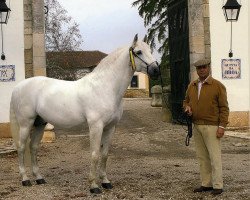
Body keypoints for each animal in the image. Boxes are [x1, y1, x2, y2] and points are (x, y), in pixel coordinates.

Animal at [9, 34, 160, 194]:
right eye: (138, 52)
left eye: (150, 50)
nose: (156, 70)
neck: (105, 87)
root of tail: (18, 87)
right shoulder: (96, 126)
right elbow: (94, 154)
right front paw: (93, 185)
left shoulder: (110, 127)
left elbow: (105, 154)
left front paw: (106, 182)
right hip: (26, 124)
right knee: (21, 147)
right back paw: (25, 179)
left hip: (40, 124)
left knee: (33, 147)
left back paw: (39, 178)